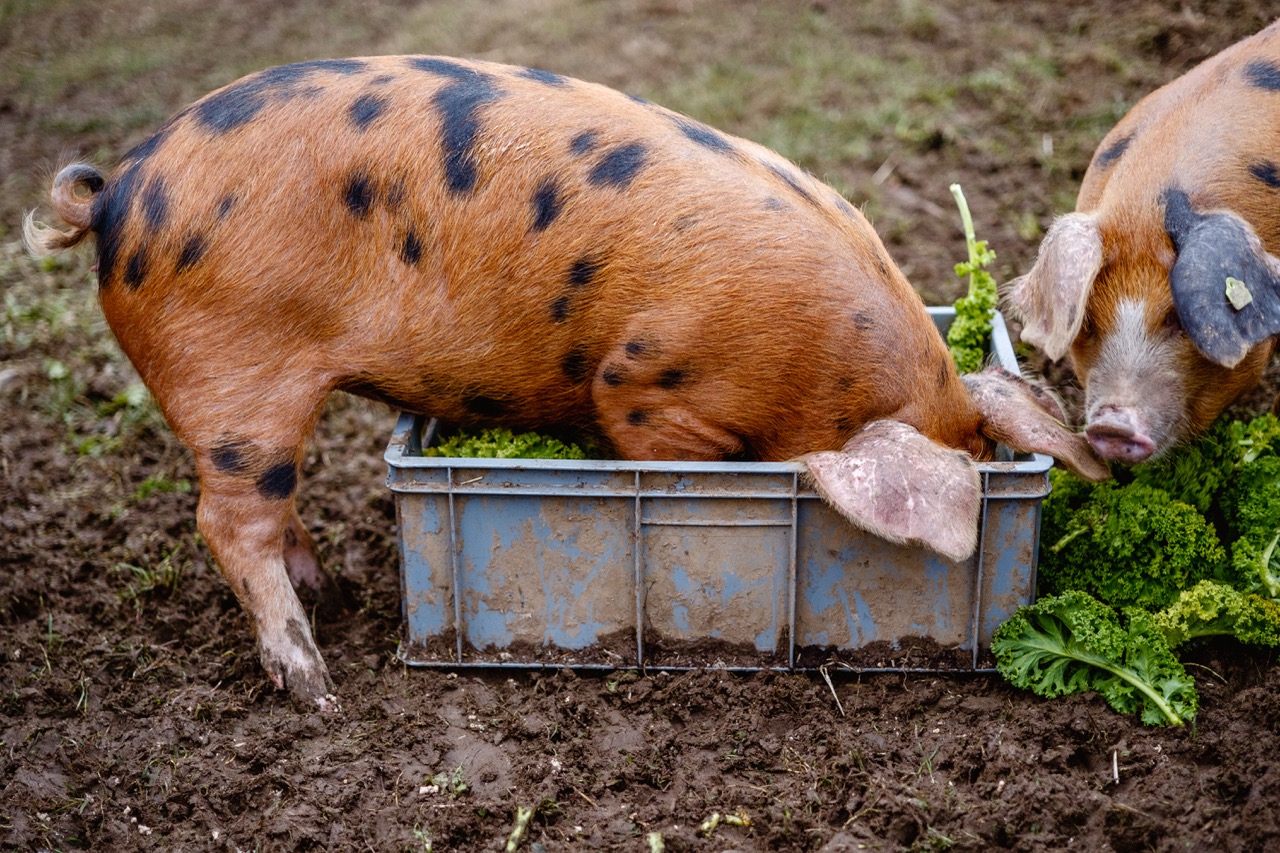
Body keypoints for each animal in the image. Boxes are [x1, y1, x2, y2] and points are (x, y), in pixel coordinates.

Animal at [24, 55, 1106, 708]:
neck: (830, 378)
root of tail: (118, 195)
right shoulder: (645, 385)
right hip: (232, 373)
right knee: (227, 517)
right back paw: (315, 681)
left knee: (266, 508)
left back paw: (331, 590)